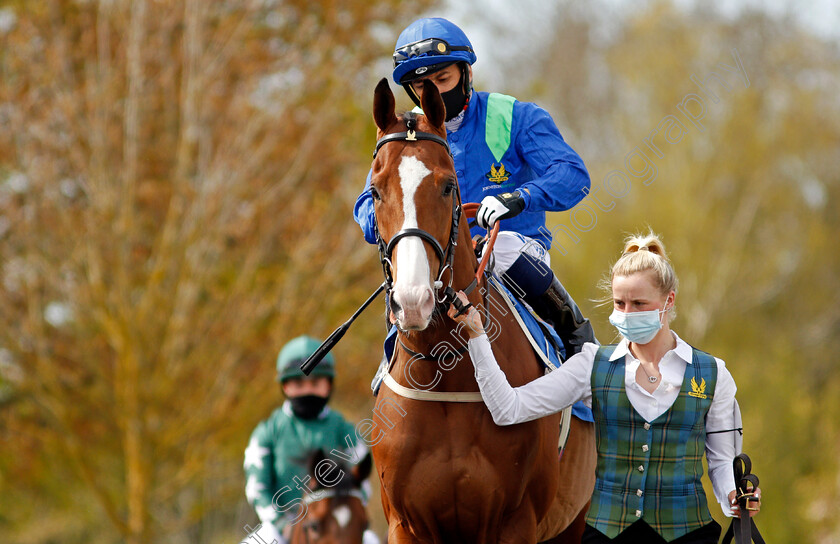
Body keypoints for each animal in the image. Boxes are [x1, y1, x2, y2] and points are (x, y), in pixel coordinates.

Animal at [368, 77, 596, 544]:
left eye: (447, 185)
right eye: (376, 190)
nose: (413, 300)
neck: (443, 370)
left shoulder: (516, 521)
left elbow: (567, 167)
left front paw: (501, 205)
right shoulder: (406, 525)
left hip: (571, 522)